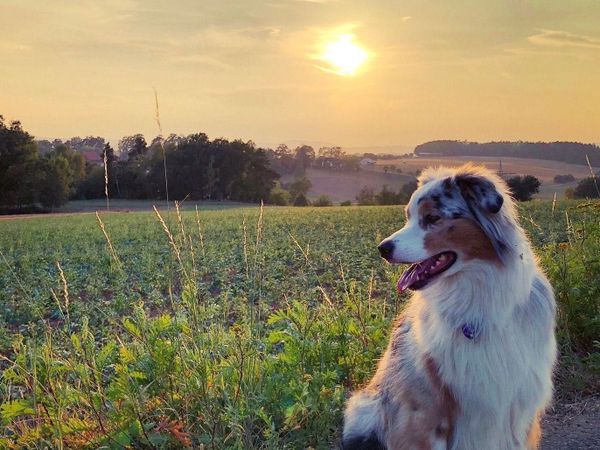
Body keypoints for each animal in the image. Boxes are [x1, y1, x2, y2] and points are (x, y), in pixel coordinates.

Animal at [342, 165, 556, 450]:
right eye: (408, 217)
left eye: (432, 217)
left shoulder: (520, 408)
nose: (382, 248)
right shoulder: (424, 413)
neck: (477, 297)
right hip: (366, 407)